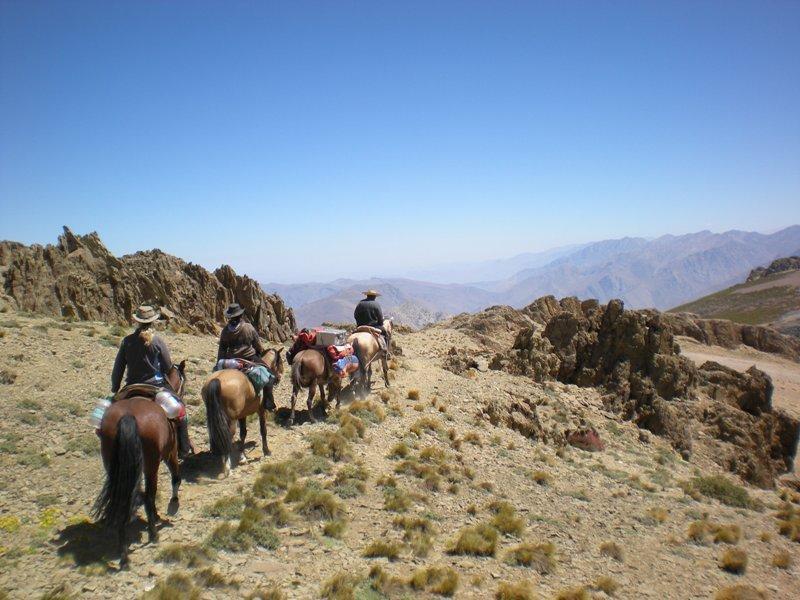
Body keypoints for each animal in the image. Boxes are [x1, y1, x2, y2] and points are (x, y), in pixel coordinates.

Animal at [93, 360, 187, 568]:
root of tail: (127, 417)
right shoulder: (170, 452)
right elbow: (176, 477)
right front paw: (173, 503)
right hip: (151, 463)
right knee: (150, 494)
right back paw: (153, 534)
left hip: (114, 464)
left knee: (125, 496)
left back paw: (123, 554)